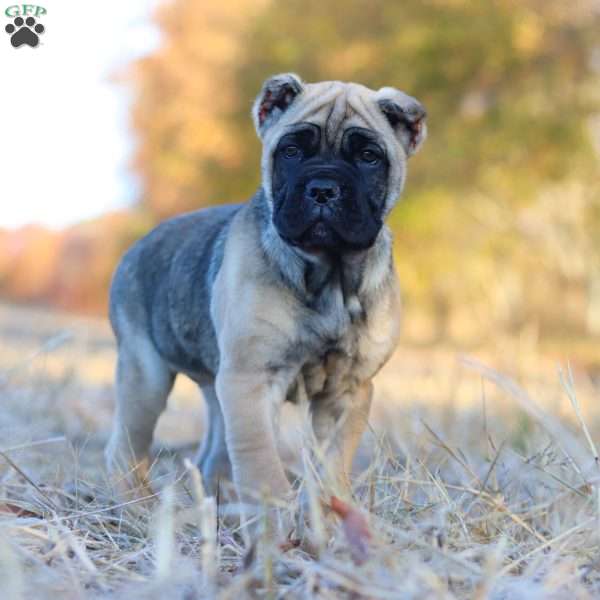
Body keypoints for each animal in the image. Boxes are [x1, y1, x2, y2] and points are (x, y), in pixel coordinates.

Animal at [105, 72, 424, 506]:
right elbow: (261, 461)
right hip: (146, 377)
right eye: (290, 151)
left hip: (214, 383)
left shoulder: (349, 391)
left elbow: (333, 460)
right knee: (126, 448)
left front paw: (328, 510)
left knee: (212, 450)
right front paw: (274, 514)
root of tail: (137, 246)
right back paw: (136, 504)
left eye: (369, 157)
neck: (331, 275)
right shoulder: (251, 379)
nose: (323, 188)